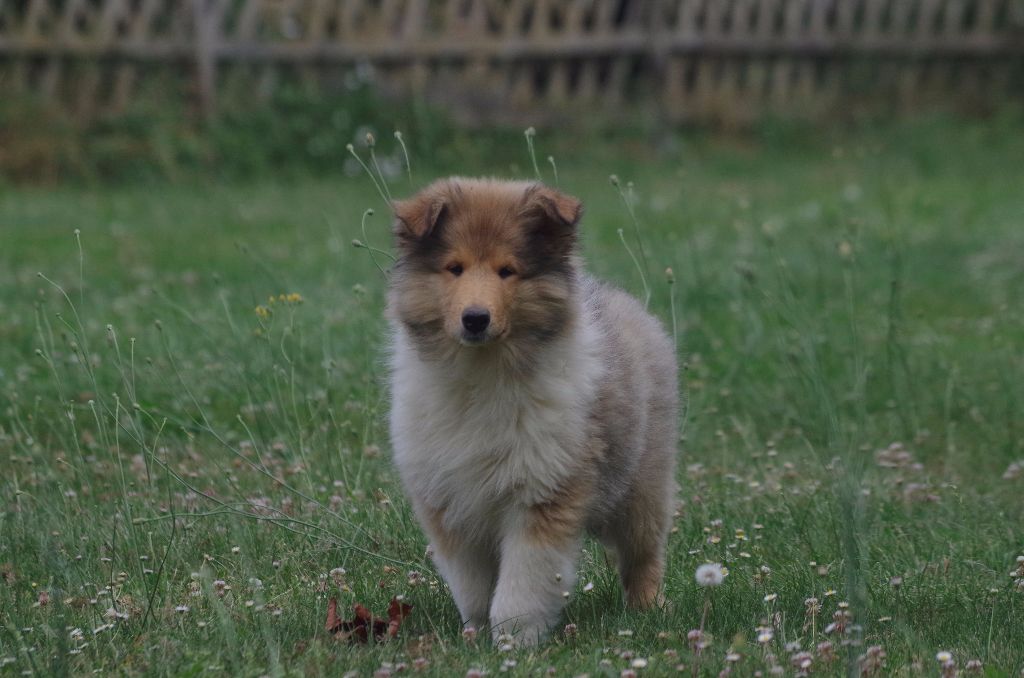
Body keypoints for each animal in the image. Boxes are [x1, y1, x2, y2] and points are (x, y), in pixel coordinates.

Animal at [387, 178, 675, 647]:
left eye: (507, 270)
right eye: (454, 268)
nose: (475, 319)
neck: (483, 374)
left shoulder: (542, 494)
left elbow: (522, 584)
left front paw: (514, 641)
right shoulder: (450, 503)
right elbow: (472, 585)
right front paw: (475, 632)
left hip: (643, 487)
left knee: (644, 556)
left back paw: (649, 609)